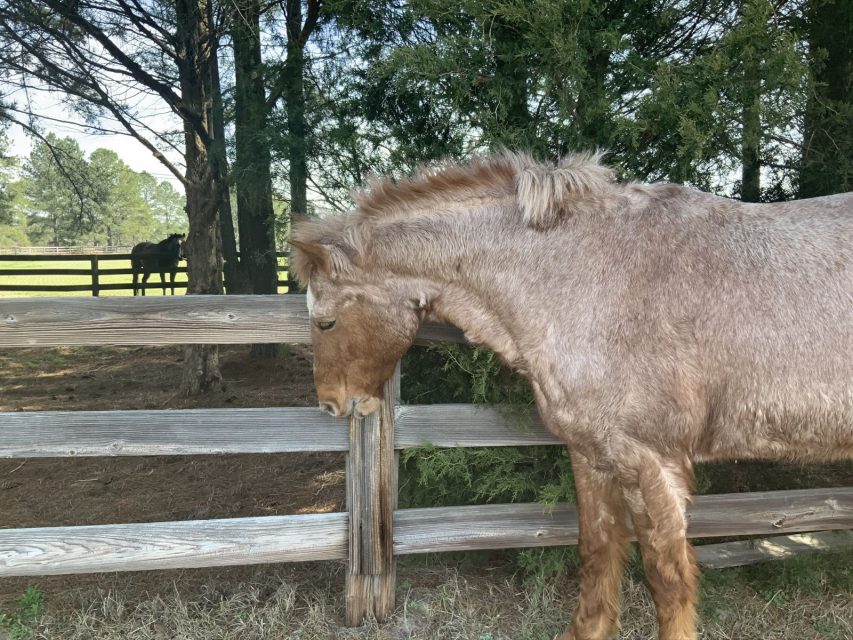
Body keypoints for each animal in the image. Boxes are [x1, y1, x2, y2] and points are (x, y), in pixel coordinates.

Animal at [289, 152, 853, 640]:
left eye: (326, 321)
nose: (332, 403)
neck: (586, 272)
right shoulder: (591, 453)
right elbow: (596, 552)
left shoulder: (651, 463)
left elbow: (666, 579)